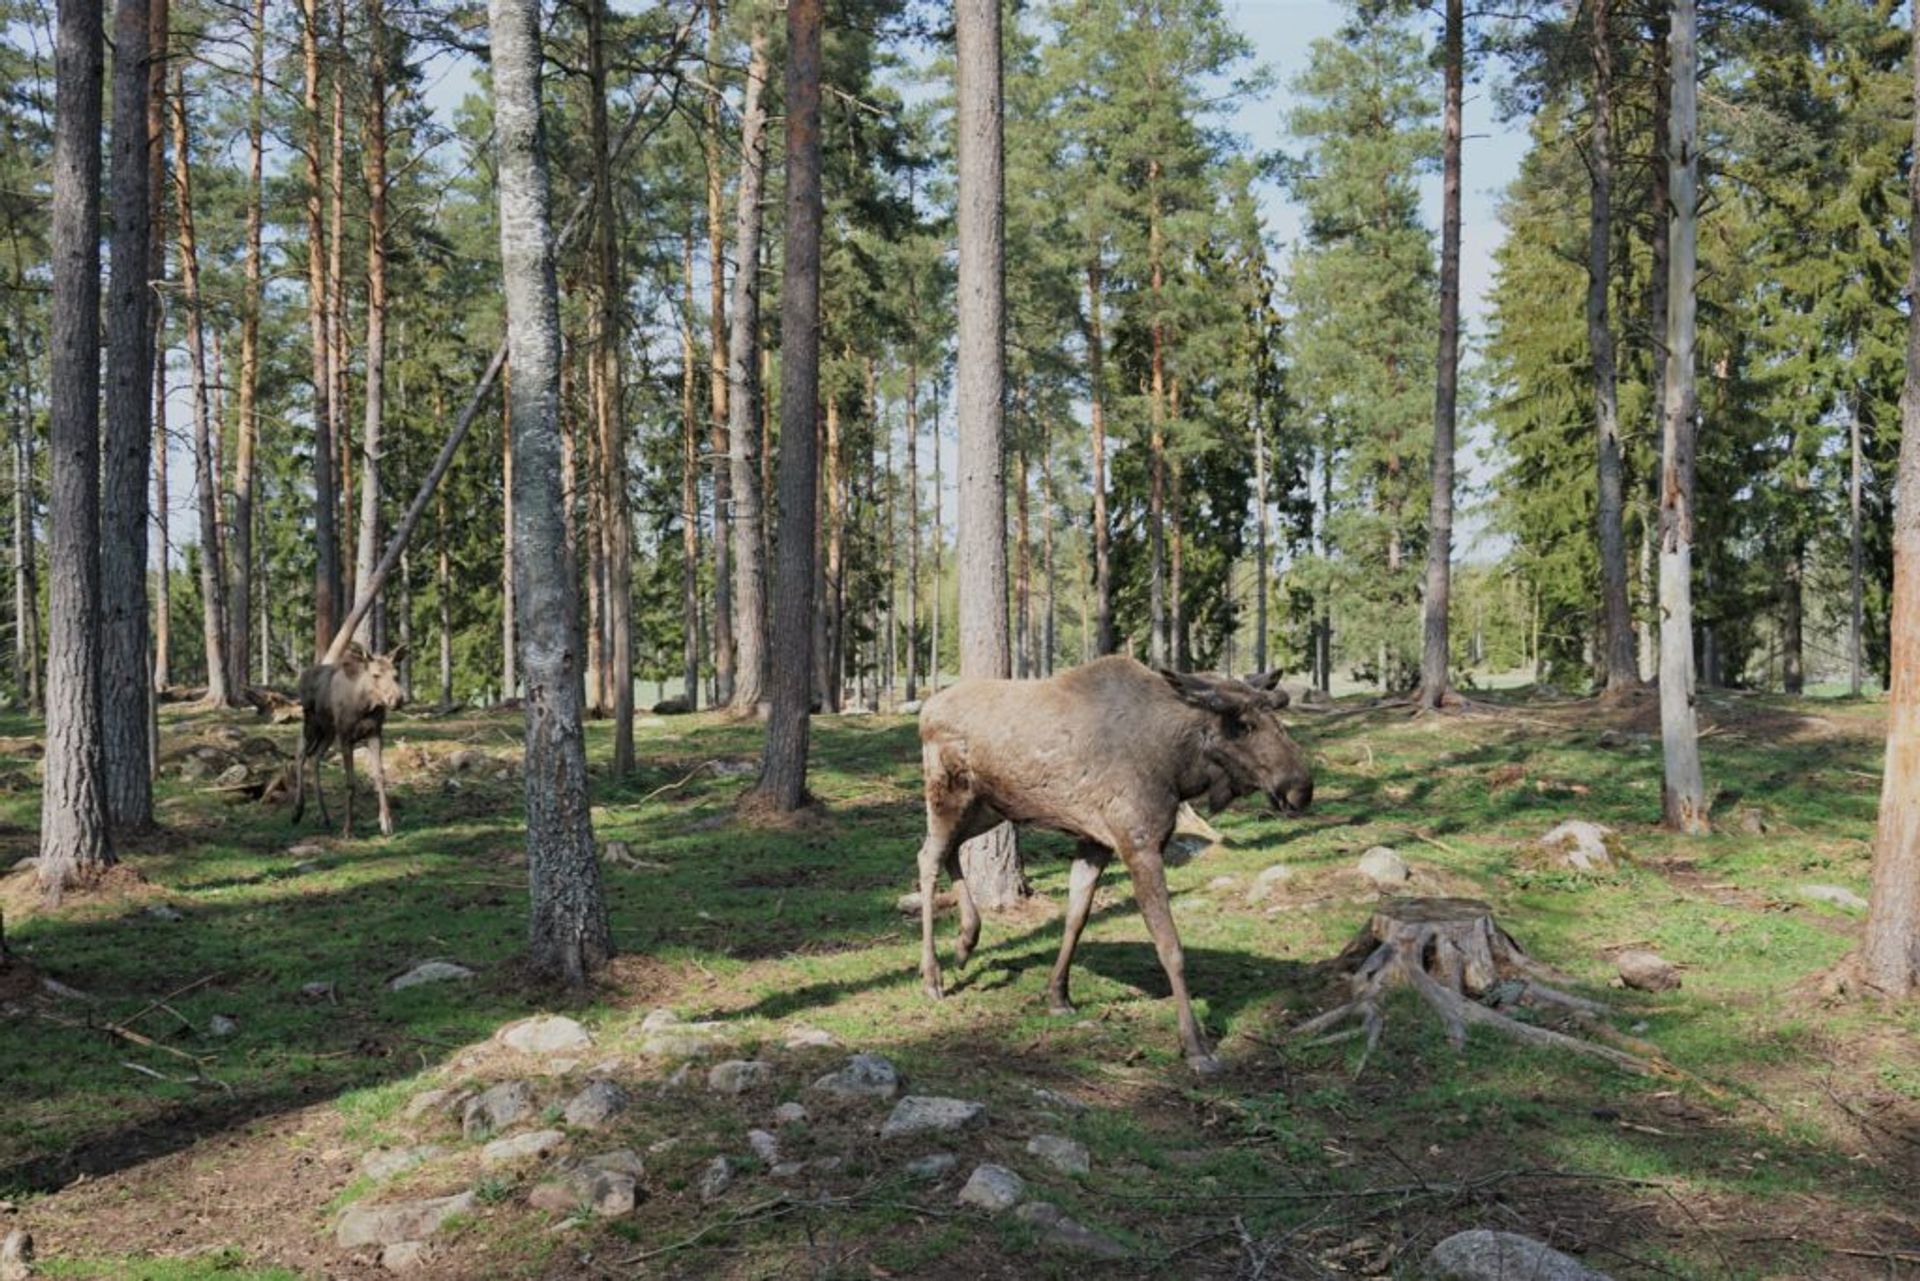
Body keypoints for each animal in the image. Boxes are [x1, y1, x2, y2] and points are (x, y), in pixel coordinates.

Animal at [289, 641, 410, 841]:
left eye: (396, 675)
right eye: (376, 674)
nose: (398, 699)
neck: (365, 705)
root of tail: (303, 674)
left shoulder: (375, 733)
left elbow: (380, 775)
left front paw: (386, 823)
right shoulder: (346, 737)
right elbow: (350, 784)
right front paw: (348, 828)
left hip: (328, 731)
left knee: (315, 757)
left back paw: (324, 816)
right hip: (311, 723)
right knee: (300, 753)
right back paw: (297, 810)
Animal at [910, 660, 1305, 1075]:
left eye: (1275, 715)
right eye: (1243, 725)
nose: (1301, 787)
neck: (1178, 766)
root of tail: (926, 710)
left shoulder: (1096, 841)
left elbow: (1076, 917)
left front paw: (1058, 995)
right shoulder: (1140, 845)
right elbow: (1169, 946)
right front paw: (1195, 1045)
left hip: (989, 807)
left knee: (949, 850)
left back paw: (966, 941)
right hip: (948, 793)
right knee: (928, 857)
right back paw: (932, 974)